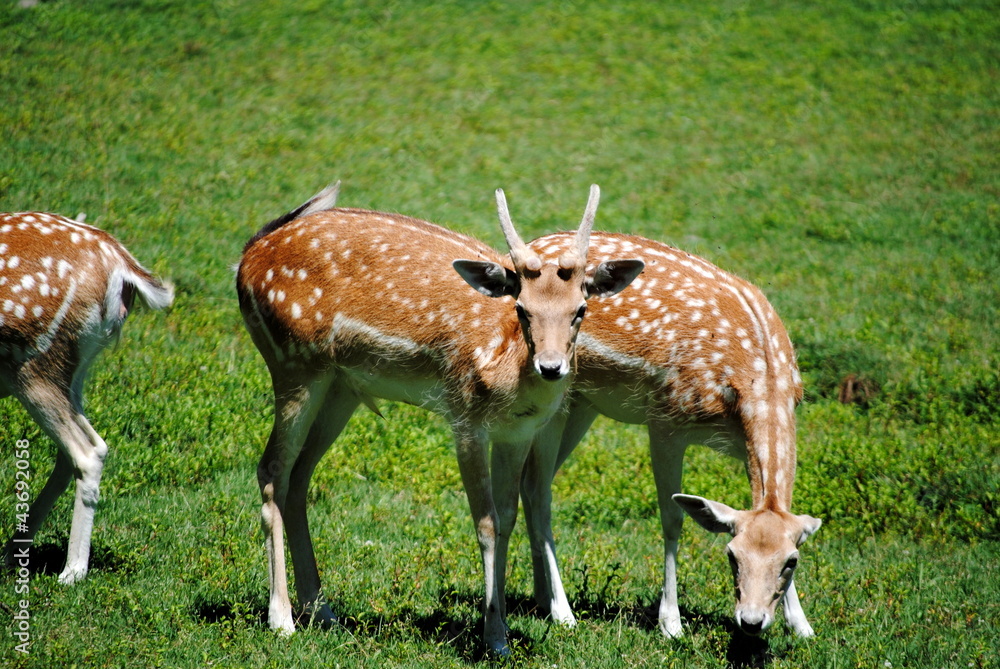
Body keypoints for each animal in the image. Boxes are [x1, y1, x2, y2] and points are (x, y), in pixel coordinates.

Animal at [0, 210, 172, 584]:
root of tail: (121, 264)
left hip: (32, 364)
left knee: (86, 452)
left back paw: (72, 571)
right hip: (73, 368)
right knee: (84, 448)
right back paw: (11, 553)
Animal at [235, 181, 644, 652]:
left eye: (581, 310)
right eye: (522, 309)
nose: (551, 367)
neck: (508, 376)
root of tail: (245, 258)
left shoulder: (518, 432)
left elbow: (507, 518)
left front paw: (503, 626)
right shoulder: (465, 416)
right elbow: (486, 522)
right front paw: (494, 638)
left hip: (340, 386)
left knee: (299, 476)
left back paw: (322, 611)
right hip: (293, 362)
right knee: (272, 469)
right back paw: (281, 618)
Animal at [516, 230, 820, 636]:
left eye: (792, 561)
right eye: (731, 556)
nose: (752, 620)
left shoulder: (743, 443)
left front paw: (802, 625)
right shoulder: (666, 422)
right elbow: (672, 519)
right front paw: (671, 622)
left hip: (584, 404)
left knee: (529, 480)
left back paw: (540, 596)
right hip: (555, 397)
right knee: (539, 489)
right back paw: (563, 612)